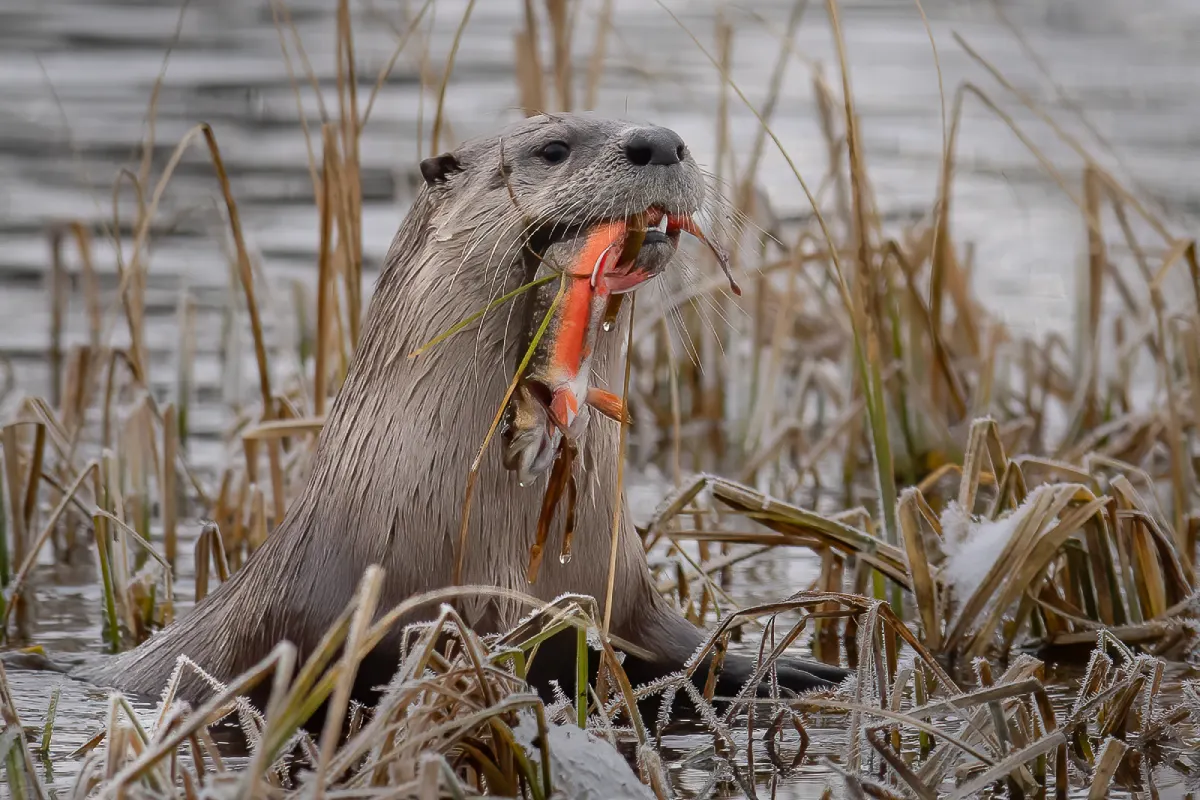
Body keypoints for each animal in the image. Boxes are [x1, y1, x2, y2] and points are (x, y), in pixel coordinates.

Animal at [84, 115, 849, 724]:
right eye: (552, 149)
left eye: (670, 136)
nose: (660, 141)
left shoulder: (621, 599)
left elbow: (678, 651)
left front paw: (794, 670)